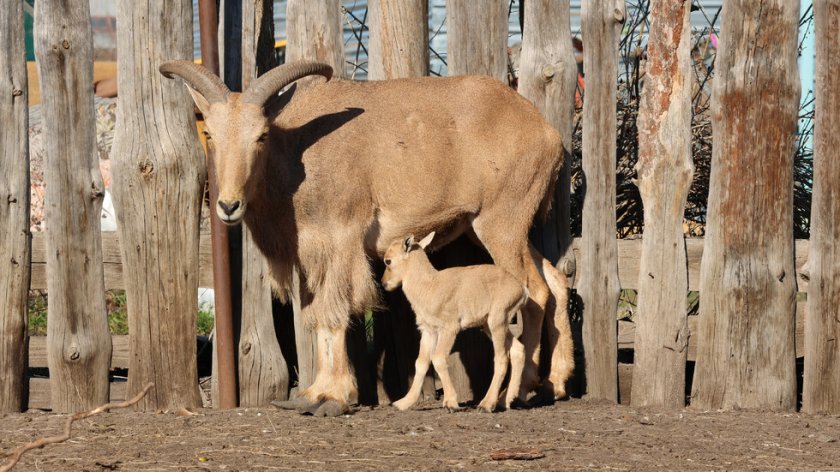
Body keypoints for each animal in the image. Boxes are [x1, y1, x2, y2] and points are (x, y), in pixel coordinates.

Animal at [380, 233, 524, 412]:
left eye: (388, 261)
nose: (384, 283)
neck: (430, 286)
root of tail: (521, 290)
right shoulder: (428, 331)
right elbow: (421, 363)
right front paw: (402, 403)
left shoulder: (449, 328)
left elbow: (439, 358)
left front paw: (451, 403)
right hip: (491, 325)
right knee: (518, 350)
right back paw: (505, 401)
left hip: (497, 321)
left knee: (502, 358)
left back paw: (486, 404)